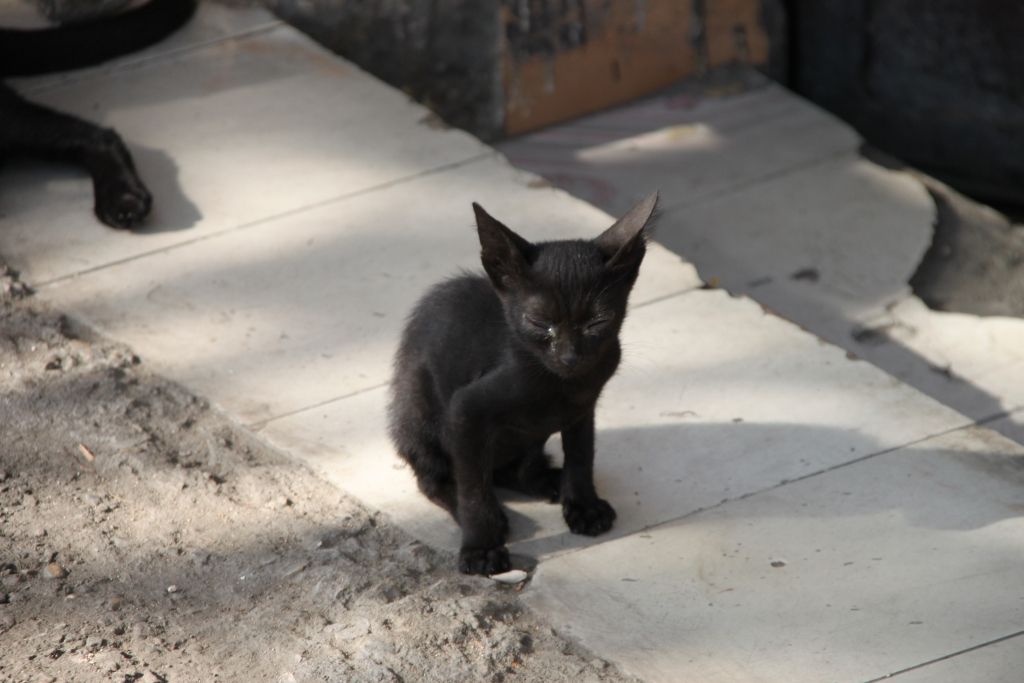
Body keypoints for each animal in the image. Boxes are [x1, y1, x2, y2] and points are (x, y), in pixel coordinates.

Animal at [387, 191, 659, 573]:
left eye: (597, 323)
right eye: (539, 322)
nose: (569, 356)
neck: (560, 385)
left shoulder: (583, 406)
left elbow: (582, 453)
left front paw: (584, 505)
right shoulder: (465, 410)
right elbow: (471, 487)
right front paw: (481, 546)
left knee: (515, 470)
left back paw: (549, 479)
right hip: (417, 414)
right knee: (436, 478)